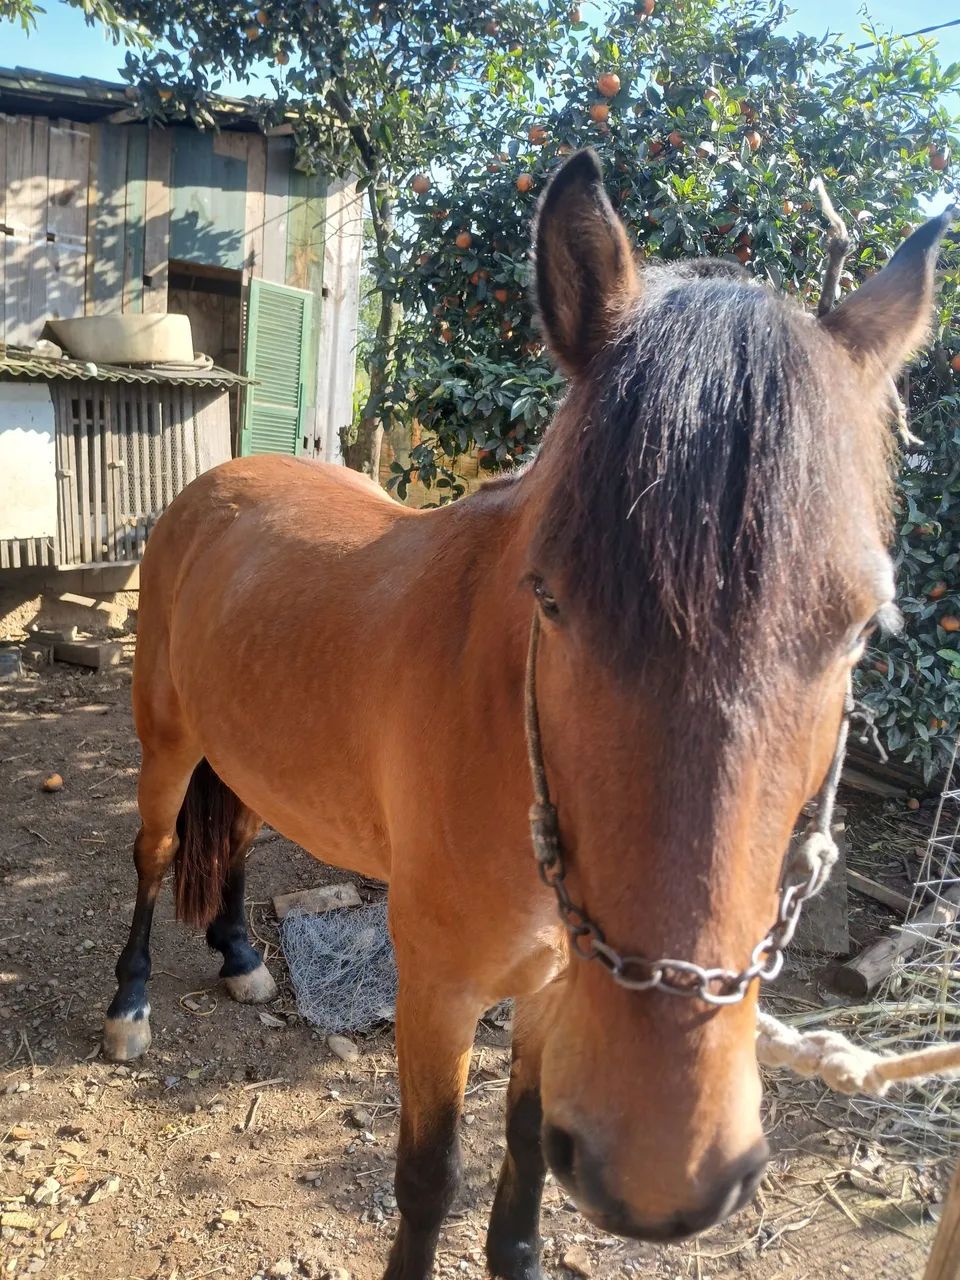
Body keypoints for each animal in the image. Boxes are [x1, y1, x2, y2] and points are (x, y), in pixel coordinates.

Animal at [102, 149, 951, 1280]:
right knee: (155, 855)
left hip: (244, 755)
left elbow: (522, 1171)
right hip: (166, 744)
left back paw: (242, 956)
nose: (664, 1167)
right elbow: (429, 1179)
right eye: (549, 597)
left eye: (862, 627)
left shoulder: (555, 986)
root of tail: (224, 479)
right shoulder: (437, 990)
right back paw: (130, 1004)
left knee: (232, 837)